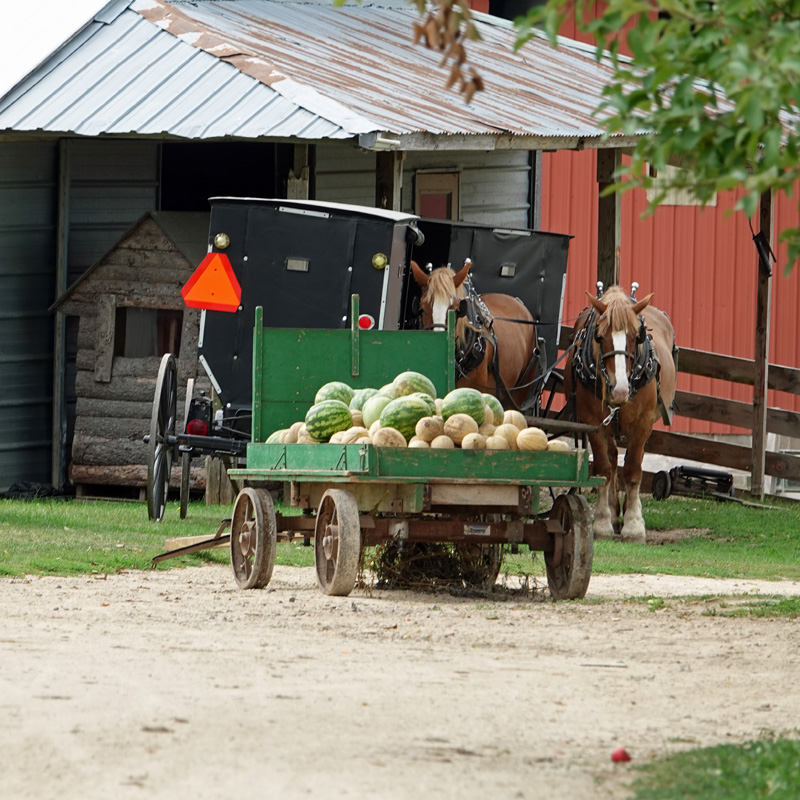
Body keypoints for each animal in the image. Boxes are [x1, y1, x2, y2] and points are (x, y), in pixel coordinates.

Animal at [564, 284, 676, 540]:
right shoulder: (593, 423)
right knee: (614, 460)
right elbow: (604, 469)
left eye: (637, 337)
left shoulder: (643, 423)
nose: (620, 390)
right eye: (599, 337)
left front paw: (634, 524)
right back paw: (615, 514)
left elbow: (633, 470)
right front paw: (603, 522)